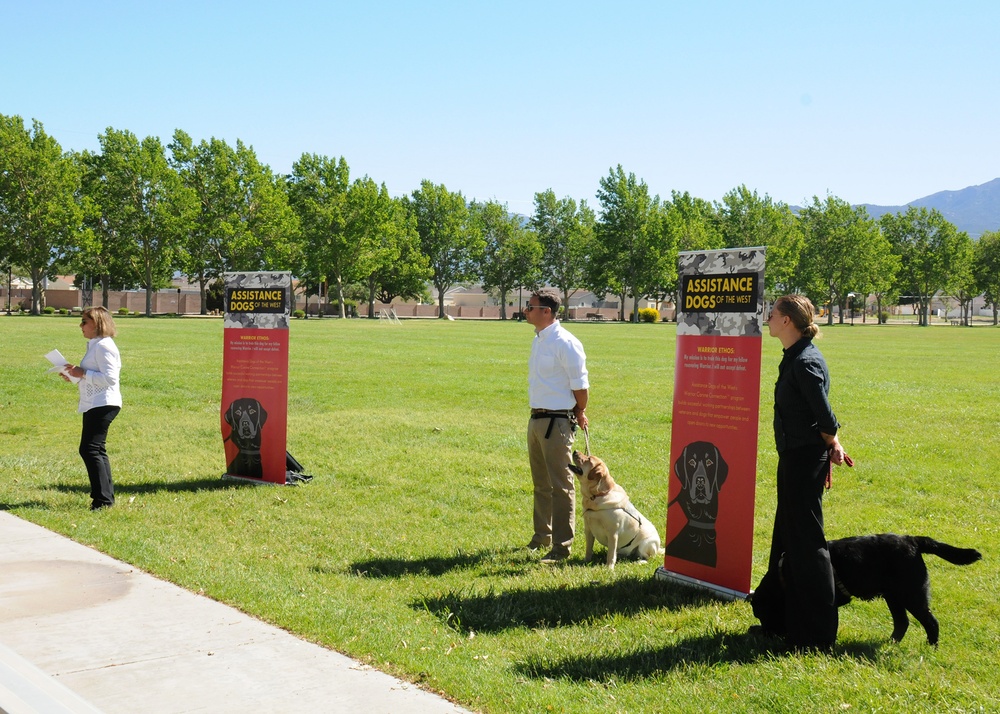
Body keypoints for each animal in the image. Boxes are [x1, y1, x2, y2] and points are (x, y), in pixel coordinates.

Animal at [752, 536, 980, 644]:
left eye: (763, 614)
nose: (766, 633)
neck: (783, 576)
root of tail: (913, 540)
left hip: (912, 594)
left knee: (931, 622)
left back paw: (931, 647)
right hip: (894, 596)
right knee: (902, 622)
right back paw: (890, 643)